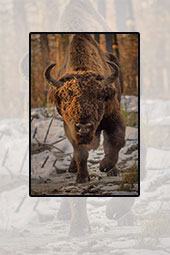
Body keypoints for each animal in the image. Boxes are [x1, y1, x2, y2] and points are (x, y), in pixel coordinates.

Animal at [44, 33, 125, 182]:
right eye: (66, 99)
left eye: (100, 98)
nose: (84, 127)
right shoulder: (69, 126)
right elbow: (80, 151)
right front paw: (82, 178)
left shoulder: (114, 115)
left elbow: (116, 141)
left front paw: (105, 167)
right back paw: (72, 168)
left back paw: (112, 170)